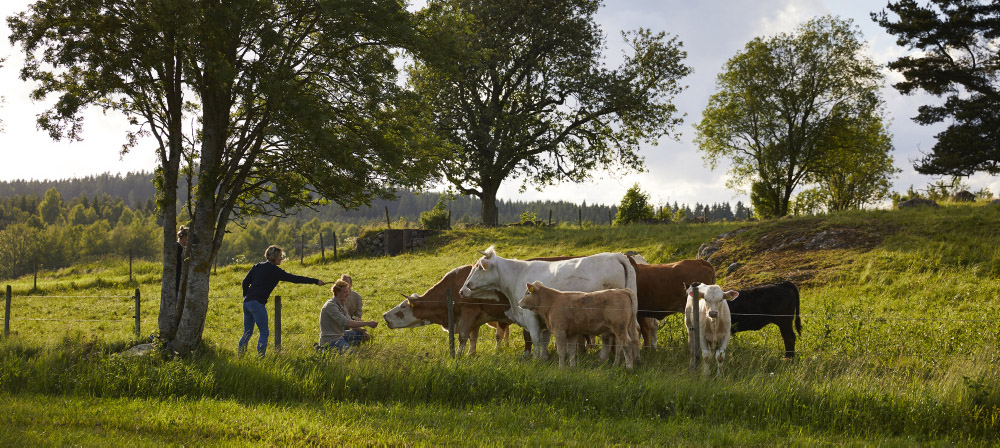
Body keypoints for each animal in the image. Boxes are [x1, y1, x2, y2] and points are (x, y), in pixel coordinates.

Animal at [458, 245, 636, 360]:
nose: (462, 289)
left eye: (478, 267)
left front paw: (536, 359)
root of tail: (616, 255)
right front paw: (543, 358)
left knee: (612, 338)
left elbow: (535, 338)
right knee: (631, 335)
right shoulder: (544, 317)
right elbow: (544, 339)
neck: (517, 275)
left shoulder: (530, 316)